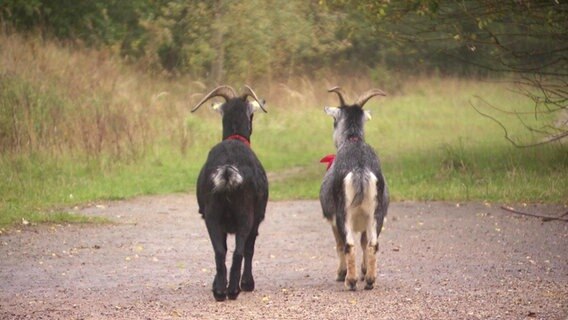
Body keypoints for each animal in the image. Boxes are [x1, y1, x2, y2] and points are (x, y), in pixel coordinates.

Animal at [191, 84, 268, 300]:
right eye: (252, 114)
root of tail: (227, 170)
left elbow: (222, 247)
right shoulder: (257, 218)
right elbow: (249, 249)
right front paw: (248, 284)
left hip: (212, 214)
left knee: (219, 251)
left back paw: (219, 291)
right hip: (245, 214)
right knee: (240, 251)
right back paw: (234, 289)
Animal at [322, 86, 388, 292]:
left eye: (334, 121)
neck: (352, 139)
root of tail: (359, 168)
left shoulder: (333, 220)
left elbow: (339, 244)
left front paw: (340, 273)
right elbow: (365, 242)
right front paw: (364, 271)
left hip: (344, 213)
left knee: (348, 244)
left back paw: (350, 281)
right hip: (377, 213)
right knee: (373, 244)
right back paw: (370, 280)